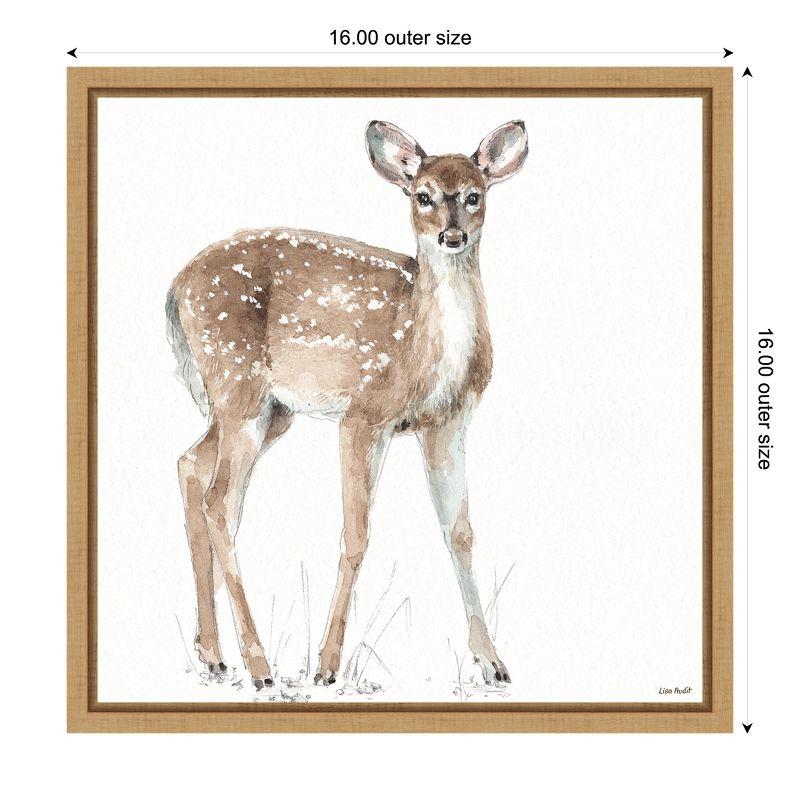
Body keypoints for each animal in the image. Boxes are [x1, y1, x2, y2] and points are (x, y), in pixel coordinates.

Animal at [166, 119, 528, 689]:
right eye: (423, 195)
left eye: (475, 195)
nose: (452, 236)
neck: (424, 348)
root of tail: (175, 290)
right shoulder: (363, 413)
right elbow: (356, 535)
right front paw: (327, 666)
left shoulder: (447, 422)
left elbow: (460, 532)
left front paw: (493, 663)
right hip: (236, 385)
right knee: (219, 501)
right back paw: (260, 666)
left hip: (267, 411)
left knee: (191, 467)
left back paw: (213, 654)